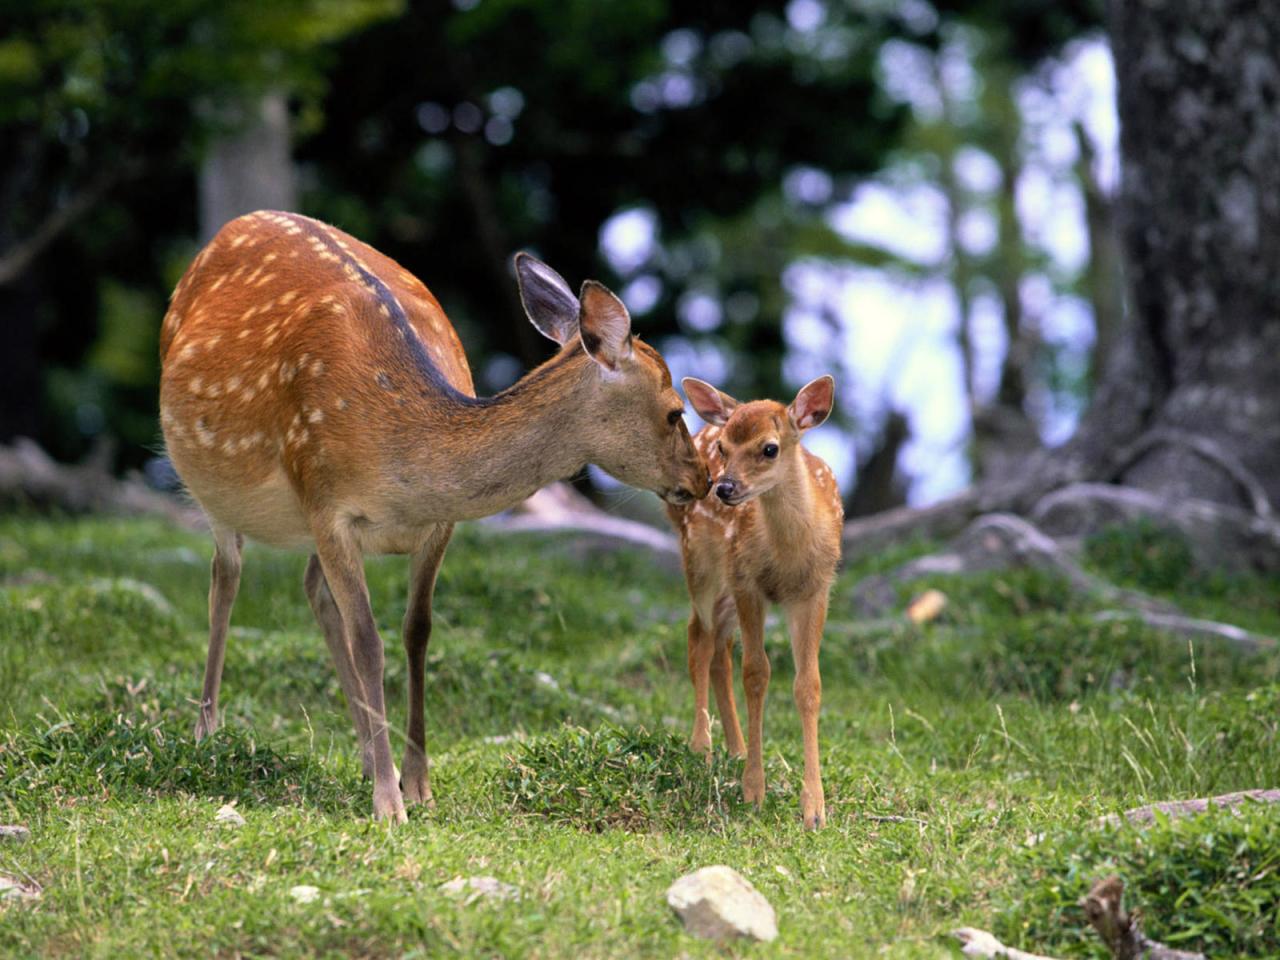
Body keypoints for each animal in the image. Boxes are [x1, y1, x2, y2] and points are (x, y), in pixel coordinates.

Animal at [160, 212, 711, 829]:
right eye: (674, 412)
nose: (704, 480)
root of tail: (231, 228)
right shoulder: (326, 503)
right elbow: (368, 640)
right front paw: (389, 803)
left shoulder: (436, 526)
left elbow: (416, 632)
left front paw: (417, 783)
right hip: (214, 487)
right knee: (224, 579)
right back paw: (208, 732)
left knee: (312, 588)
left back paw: (361, 749)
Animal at [665, 378, 844, 829]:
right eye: (724, 447)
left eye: (770, 448)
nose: (724, 487)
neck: (787, 555)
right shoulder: (748, 582)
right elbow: (756, 674)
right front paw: (753, 792)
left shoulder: (816, 589)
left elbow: (808, 685)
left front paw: (814, 809)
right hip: (700, 560)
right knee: (699, 638)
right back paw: (702, 746)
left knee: (719, 648)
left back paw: (737, 747)